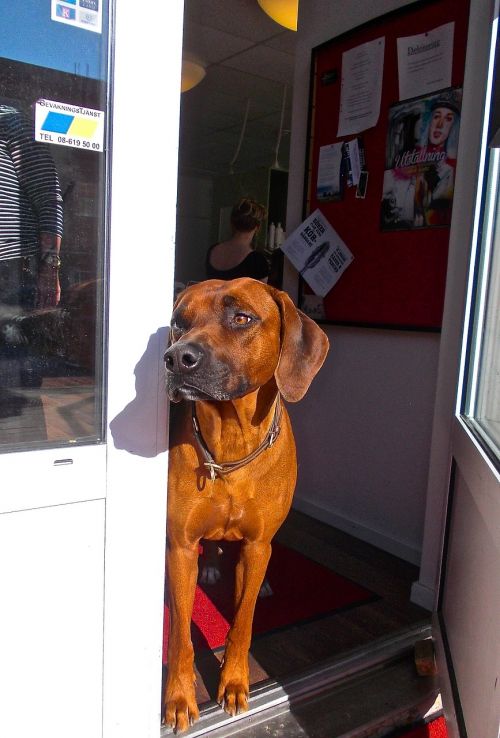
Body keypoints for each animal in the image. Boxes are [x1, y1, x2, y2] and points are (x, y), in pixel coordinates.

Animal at [163, 278, 328, 732]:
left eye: (242, 318)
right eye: (178, 322)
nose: (176, 358)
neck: (231, 443)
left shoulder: (255, 547)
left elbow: (243, 620)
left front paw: (234, 681)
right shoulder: (180, 548)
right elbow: (181, 632)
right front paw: (179, 695)